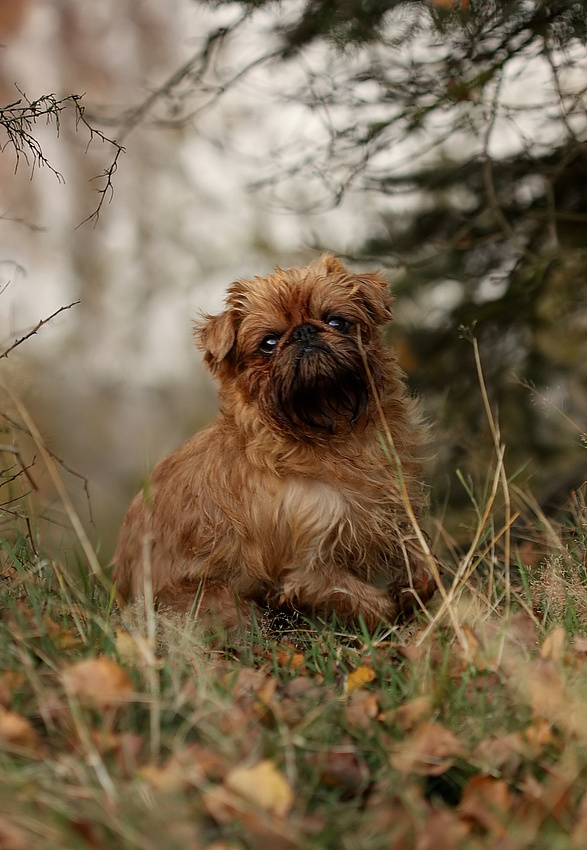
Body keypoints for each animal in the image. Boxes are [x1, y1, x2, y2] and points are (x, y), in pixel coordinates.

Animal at [115, 252, 436, 628]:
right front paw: (393, 613)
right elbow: (372, 604)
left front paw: (413, 589)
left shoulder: (392, 509)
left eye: (337, 322)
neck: (331, 432)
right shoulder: (308, 569)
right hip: (222, 602)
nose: (305, 332)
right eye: (268, 343)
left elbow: (424, 561)